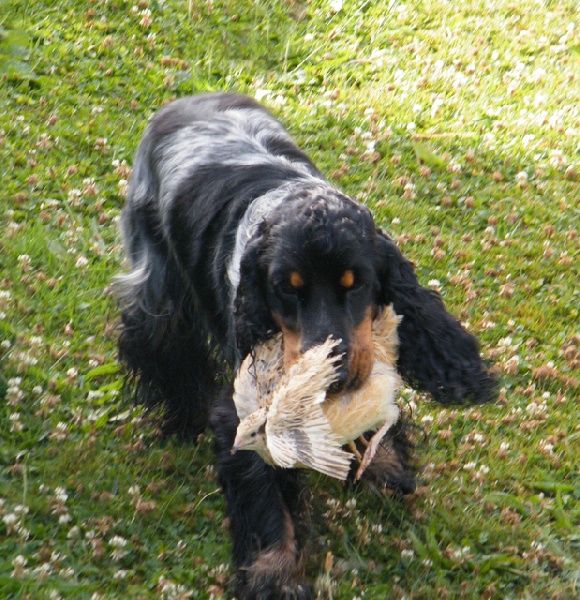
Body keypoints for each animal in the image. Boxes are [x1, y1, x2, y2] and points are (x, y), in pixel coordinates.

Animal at [116, 92, 497, 598]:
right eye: (286, 289)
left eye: (357, 284)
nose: (332, 370)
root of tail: (188, 98)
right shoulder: (246, 409)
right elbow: (266, 504)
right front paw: (273, 575)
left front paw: (384, 466)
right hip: (157, 283)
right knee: (163, 347)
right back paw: (181, 418)